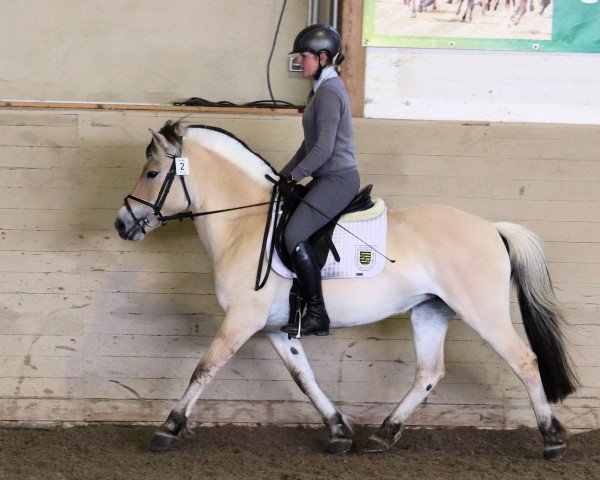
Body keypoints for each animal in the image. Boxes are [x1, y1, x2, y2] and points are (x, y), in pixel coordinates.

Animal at [112, 119, 576, 458]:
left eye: (152, 173)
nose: (121, 223)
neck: (244, 223)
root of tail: (492, 228)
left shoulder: (243, 319)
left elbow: (204, 368)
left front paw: (169, 427)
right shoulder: (276, 329)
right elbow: (304, 378)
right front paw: (338, 431)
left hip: (483, 312)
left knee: (524, 361)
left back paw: (551, 438)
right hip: (430, 311)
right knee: (428, 372)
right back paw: (385, 434)